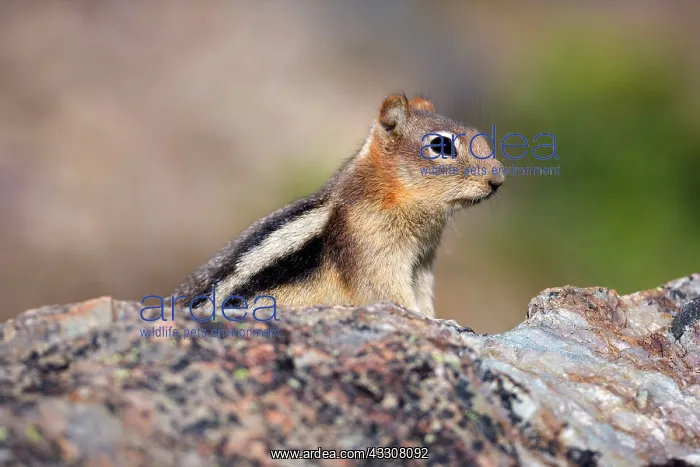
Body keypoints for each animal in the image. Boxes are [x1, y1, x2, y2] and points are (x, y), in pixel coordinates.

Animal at [173, 93, 505, 319]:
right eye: (441, 145)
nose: (498, 179)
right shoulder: (372, 253)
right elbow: (388, 295)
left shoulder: (422, 264)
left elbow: (423, 298)